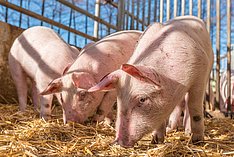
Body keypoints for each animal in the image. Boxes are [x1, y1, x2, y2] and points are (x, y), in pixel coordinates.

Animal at [88, 15, 215, 147]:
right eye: (119, 100)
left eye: (142, 99)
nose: (120, 142)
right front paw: (156, 141)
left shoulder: (200, 73)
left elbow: (194, 107)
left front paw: (197, 142)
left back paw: (188, 132)